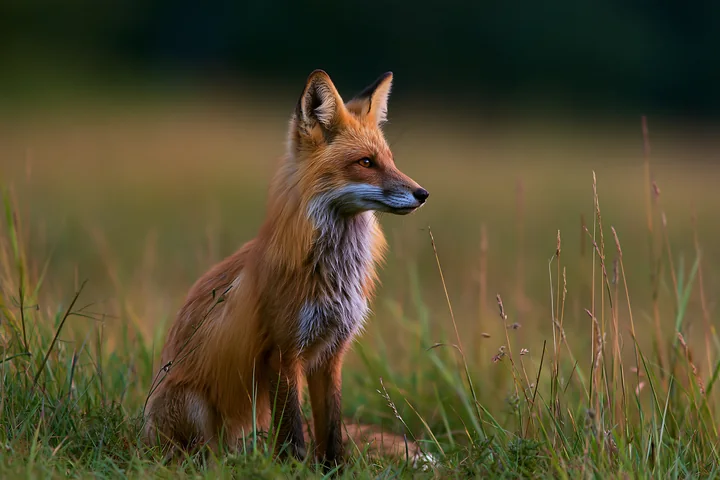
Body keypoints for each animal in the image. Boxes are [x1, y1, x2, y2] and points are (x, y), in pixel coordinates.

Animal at [142, 69, 430, 468]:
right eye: (366, 162)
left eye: (390, 160)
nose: (423, 194)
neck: (334, 273)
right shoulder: (282, 351)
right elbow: (294, 433)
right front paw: (293, 469)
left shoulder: (331, 354)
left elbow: (331, 431)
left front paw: (332, 471)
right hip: (193, 407)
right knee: (205, 453)